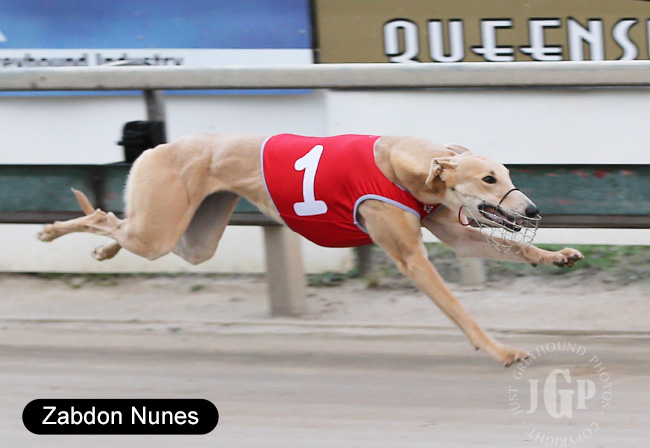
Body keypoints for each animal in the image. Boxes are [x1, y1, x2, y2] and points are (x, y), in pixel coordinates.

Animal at [37, 133, 583, 367]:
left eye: (507, 173)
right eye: (488, 178)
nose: (533, 209)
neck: (399, 160)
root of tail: (158, 146)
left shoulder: (457, 232)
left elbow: (509, 248)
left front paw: (556, 256)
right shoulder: (410, 257)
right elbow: (459, 309)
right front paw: (502, 350)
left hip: (194, 238)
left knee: (120, 226)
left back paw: (104, 254)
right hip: (161, 229)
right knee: (104, 218)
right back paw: (52, 233)